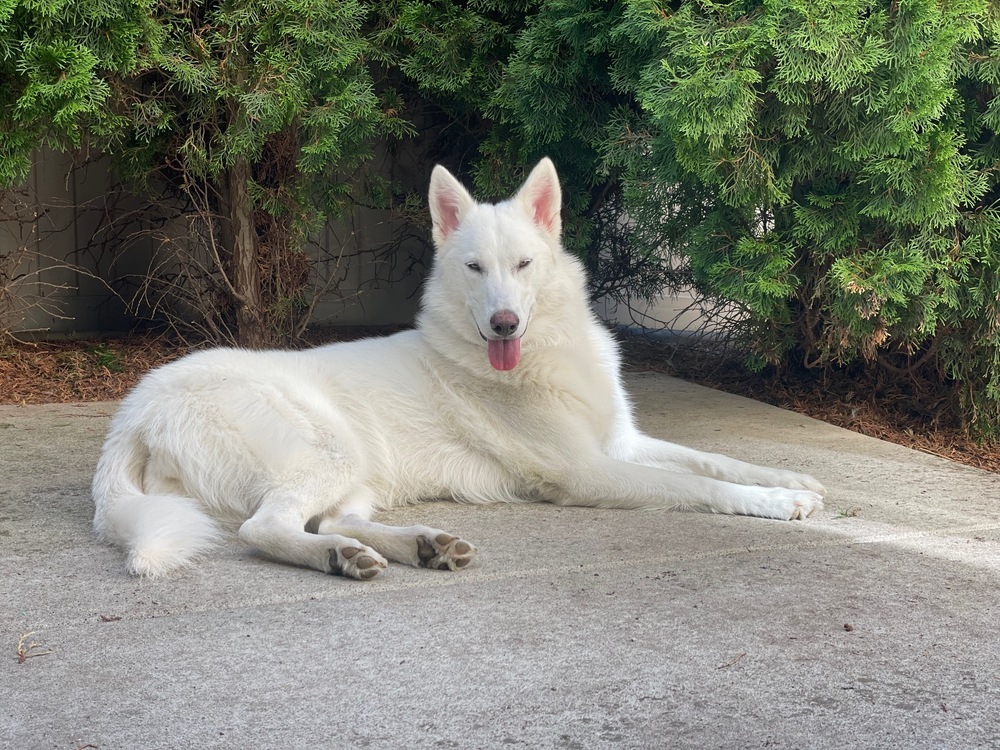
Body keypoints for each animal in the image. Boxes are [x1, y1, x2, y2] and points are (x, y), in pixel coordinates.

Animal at [92, 159, 828, 580]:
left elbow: (713, 460)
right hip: (327, 451)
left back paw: (420, 546)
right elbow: (701, 486)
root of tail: (136, 409)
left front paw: (790, 478)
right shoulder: (592, 472)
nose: (503, 324)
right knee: (266, 529)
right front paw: (778, 503)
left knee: (327, 521)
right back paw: (342, 561)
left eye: (524, 265)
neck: (545, 352)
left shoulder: (622, 444)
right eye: (474, 268)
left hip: (357, 470)